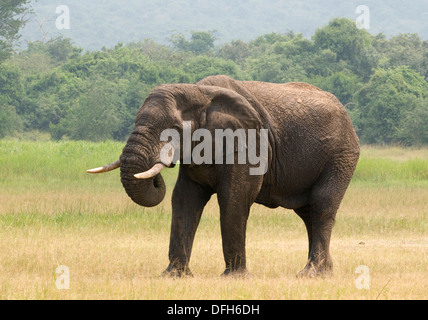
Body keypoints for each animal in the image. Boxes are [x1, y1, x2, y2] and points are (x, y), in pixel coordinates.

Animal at [88, 75, 360, 278]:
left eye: (174, 130)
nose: (158, 172)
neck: (198, 92)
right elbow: (184, 199)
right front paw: (174, 276)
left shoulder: (247, 143)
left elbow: (234, 198)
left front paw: (235, 278)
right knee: (307, 213)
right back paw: (324, 272)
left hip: (341, 155)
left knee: (322, 206)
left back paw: (311, 274)